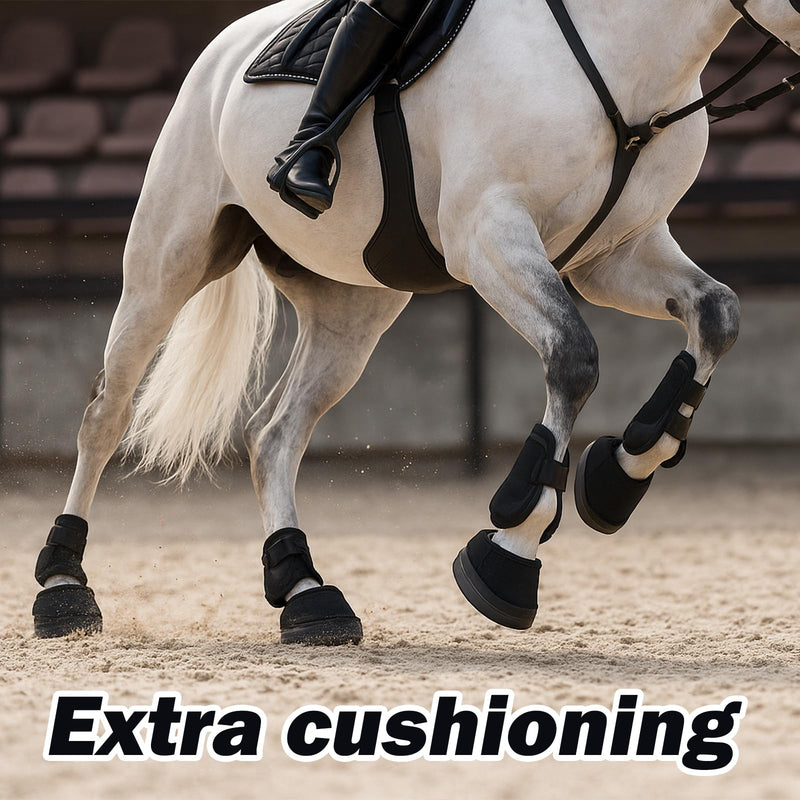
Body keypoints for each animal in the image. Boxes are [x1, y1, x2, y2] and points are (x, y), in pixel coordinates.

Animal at [31, 0, 800, 643]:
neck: (624, 53)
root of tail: (225, 48)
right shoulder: (488, 235)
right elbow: (574, 356)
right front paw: (511, 553)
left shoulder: (616, 255)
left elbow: (716, 316)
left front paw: (618, 475)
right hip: (168, 262)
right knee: (106, 416)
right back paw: (64, 587)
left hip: (352, 309)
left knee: (273, 437)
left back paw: (307, 594)